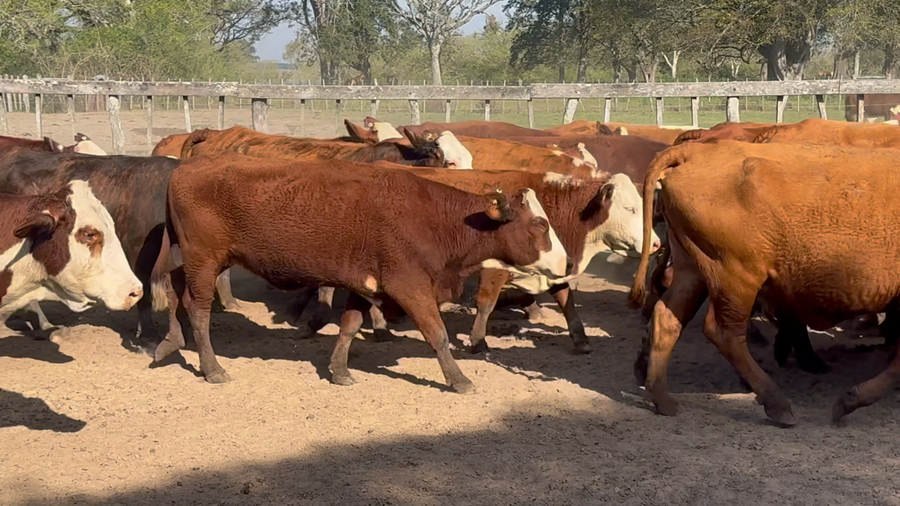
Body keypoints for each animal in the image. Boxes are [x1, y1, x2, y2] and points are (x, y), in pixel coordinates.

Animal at [153, 154, 570, 392]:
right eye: (539, 225)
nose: (564, 264)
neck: (433, 218)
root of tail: (186, 169)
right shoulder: (410, 286)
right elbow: (437, 335)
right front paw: (459, 379)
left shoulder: (361, 283)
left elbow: (350, 326)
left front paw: (339, 370)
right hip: (204, 260)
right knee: (198, 309)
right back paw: (212, 368)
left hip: (192, 258)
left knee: (174, 294)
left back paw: (169, 344)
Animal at [629, 140, 900, 426]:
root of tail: (694, 151)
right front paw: (850, 401)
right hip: (737, 277)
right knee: (725, 333)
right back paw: (776, 402)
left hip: (692, 272)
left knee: (667, 319)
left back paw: (661, 398)